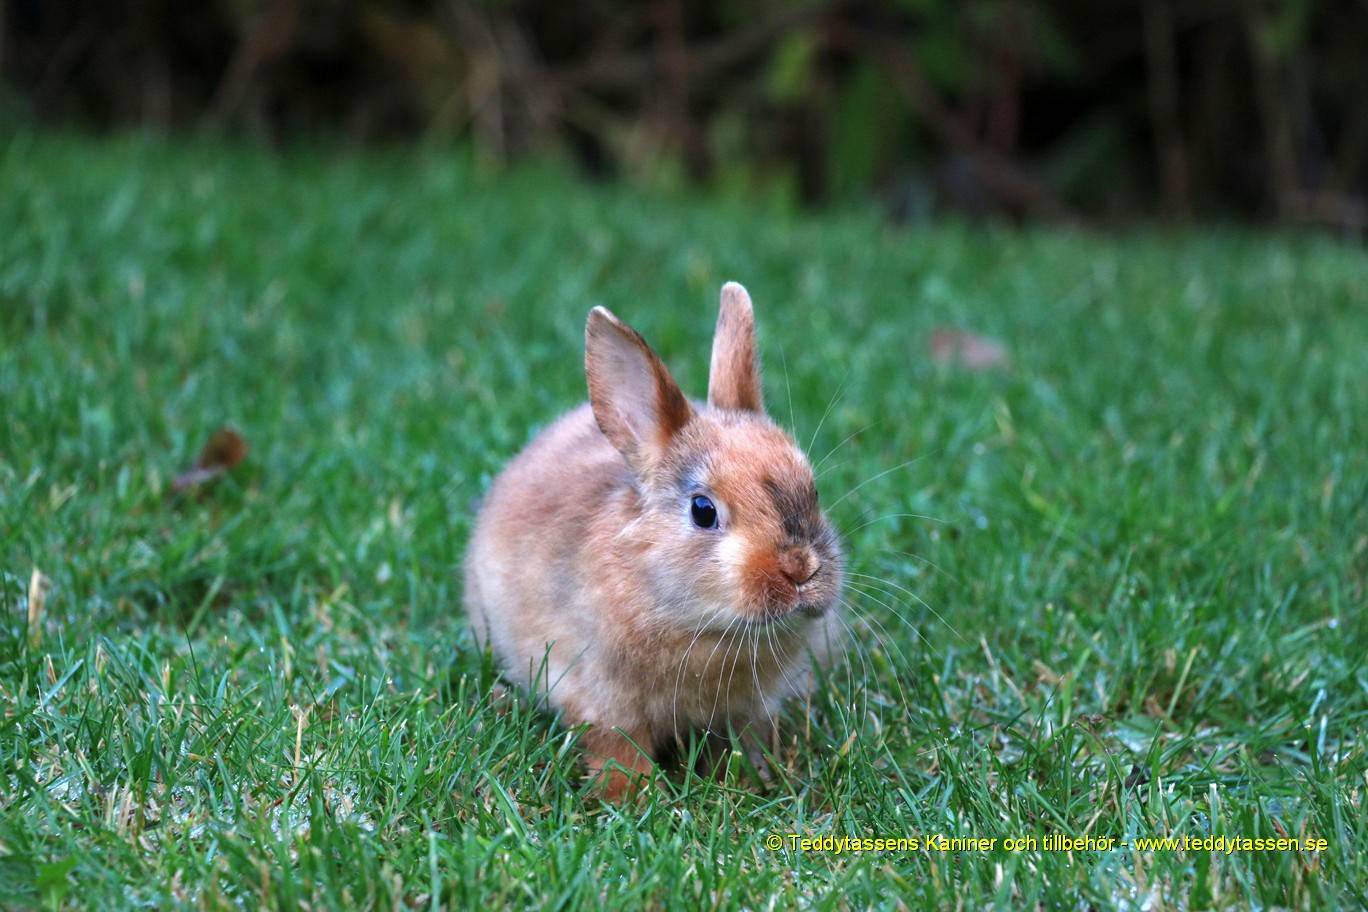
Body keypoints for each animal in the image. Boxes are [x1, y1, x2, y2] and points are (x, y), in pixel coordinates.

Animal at [462, 281, 842, 803]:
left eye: (813, 490)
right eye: (703, 510)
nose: (801, 569)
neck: (701, 628)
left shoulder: (746, 711)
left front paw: (747, 781)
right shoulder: (600, 700)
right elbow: (618, 749)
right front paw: (633, 796)